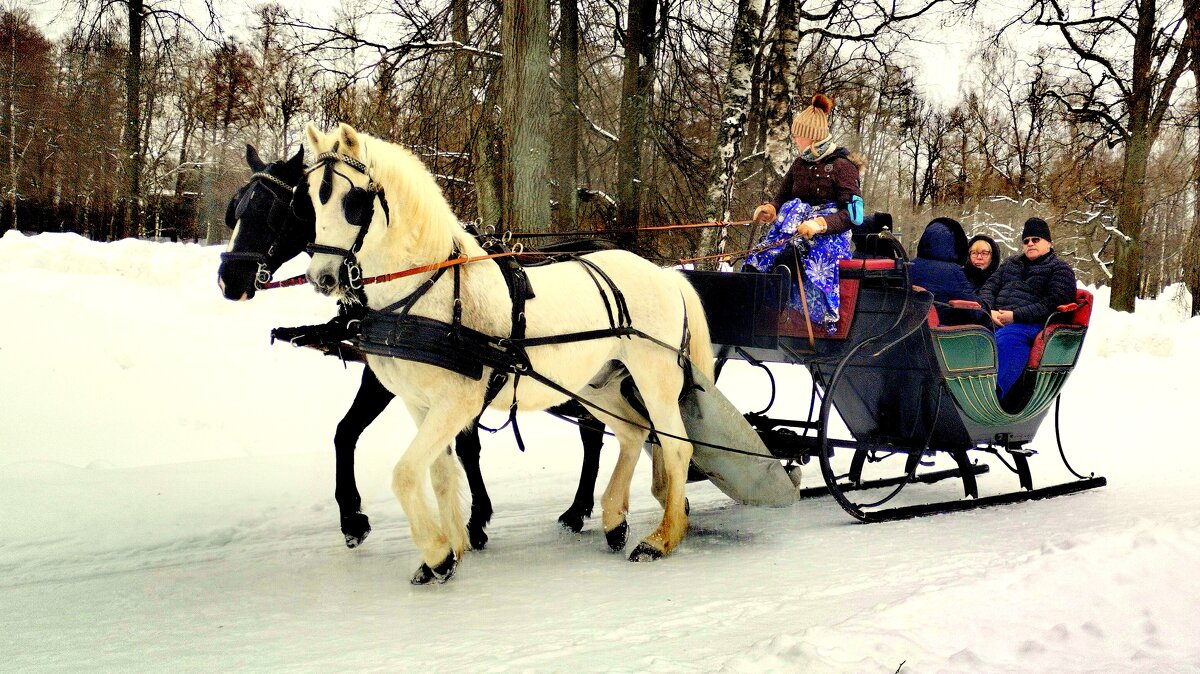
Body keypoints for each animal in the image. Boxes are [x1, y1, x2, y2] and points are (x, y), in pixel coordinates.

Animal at [217, 144, 604, 549]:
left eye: (276, 210)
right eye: (236, 208)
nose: (229, 281)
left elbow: (462, 446)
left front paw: (474, 520)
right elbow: (347, 431)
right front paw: (353, 518)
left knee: (595, 431)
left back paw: (579, 510)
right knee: (594, 430)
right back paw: (579, 510)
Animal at [302, 121, 710, 582]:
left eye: (352, 200)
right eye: (312, 195)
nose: (322, 277)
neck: (427, 293)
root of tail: (664, 274)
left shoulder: (456, 403)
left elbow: (406, 473)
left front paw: (437, 552)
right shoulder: (418, 403)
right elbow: (441, 474)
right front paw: (451, 551)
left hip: (655, 378)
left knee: (675, 448)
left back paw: (660, 538)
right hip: (595, 383)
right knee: (632, 432)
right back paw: (613, 519)